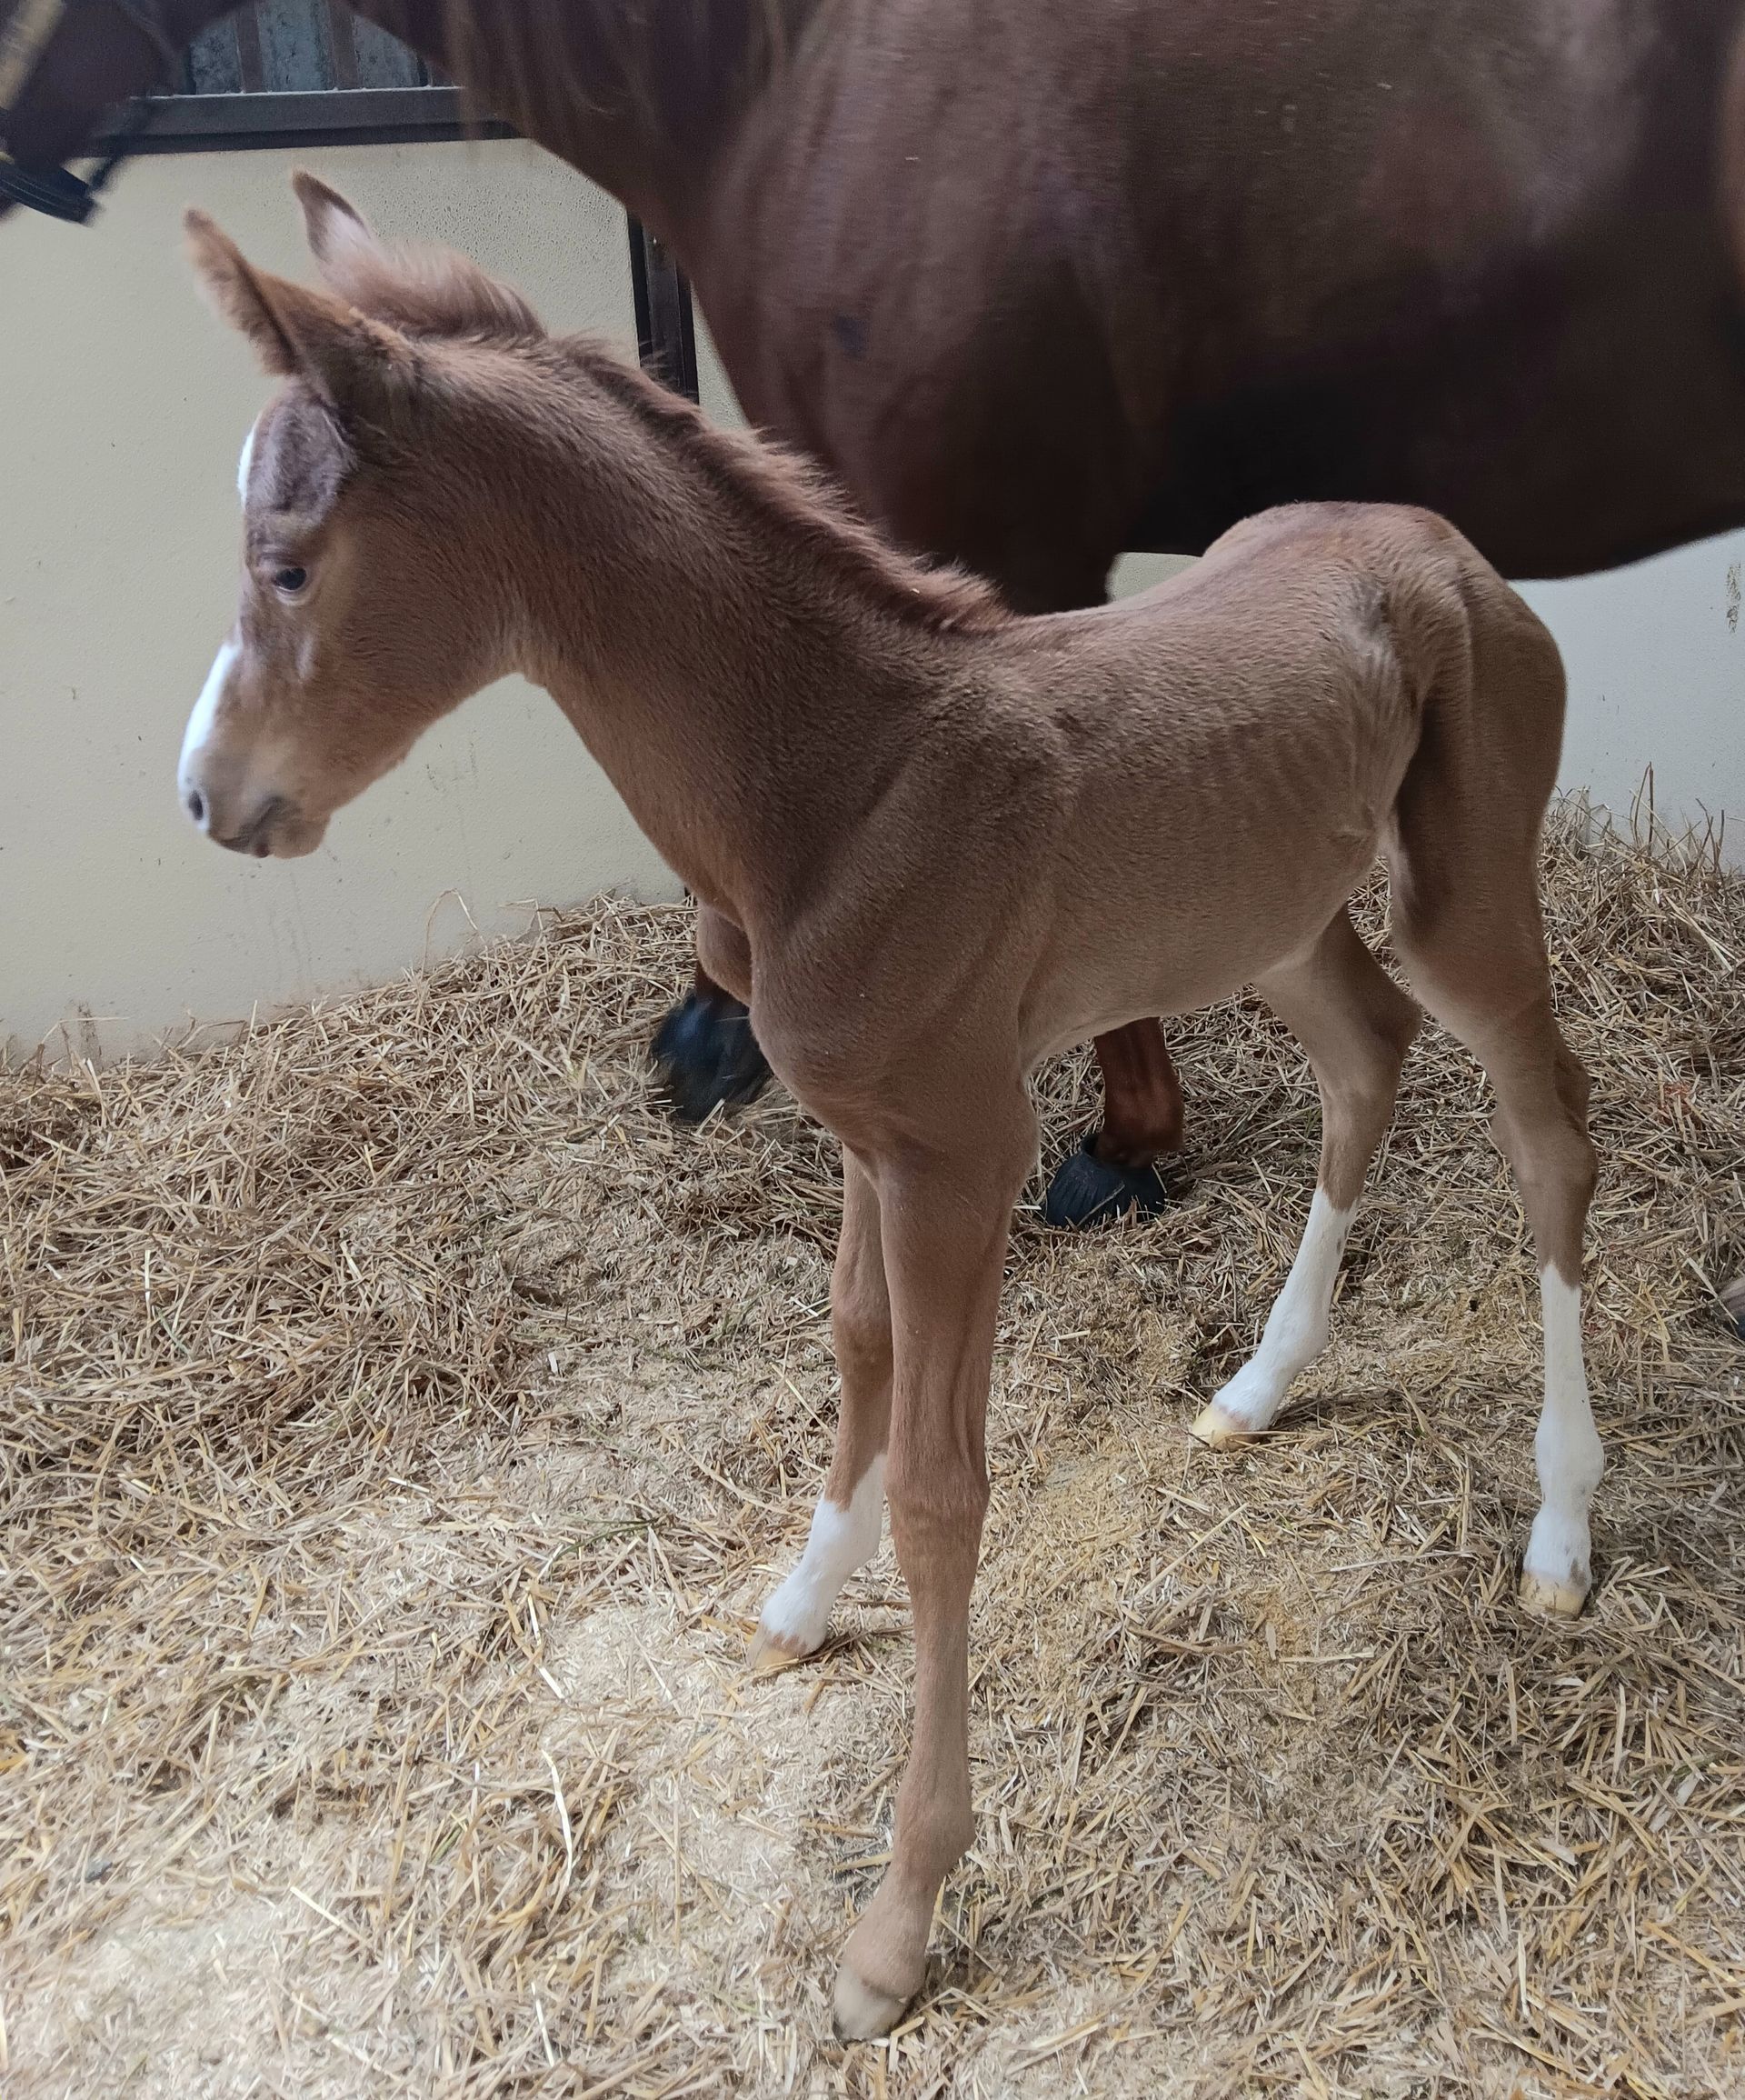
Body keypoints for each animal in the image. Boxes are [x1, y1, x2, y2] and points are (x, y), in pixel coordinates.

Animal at [178, 180, 1604, 2035]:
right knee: (1368, 1055)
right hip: (1269, 909)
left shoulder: (961, 1150)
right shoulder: (871, 1133)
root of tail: (1447, 543)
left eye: (288, 561)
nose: (207, 797)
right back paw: (1257, 1388)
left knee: (1550, 1126)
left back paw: (1563, 1524)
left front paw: (896, 1925)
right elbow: (853, 1345)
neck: (842, 787)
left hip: (1465, 892)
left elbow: (945, 1490)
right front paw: (798, 1597)